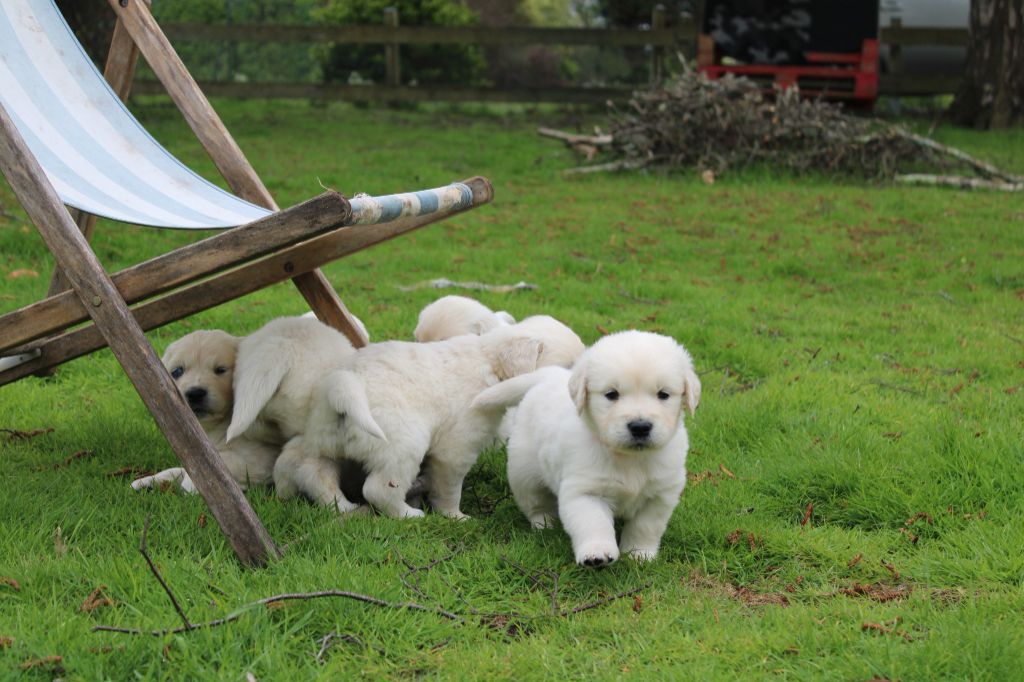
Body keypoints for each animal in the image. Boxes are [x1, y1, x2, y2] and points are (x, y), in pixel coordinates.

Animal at [131, 327, 280, 491]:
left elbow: (225, 462)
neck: (217, 425)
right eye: (177, 371)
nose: (195, 393)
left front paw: (192, 485)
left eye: (220, 370)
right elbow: (183, 469)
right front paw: (148, 480)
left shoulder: (261, 458)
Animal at [278, 315, 585, 518]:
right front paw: (455, 516)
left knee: (313, 470)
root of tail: (340, 389)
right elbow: (449, 488)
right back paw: (409, 515)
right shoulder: (456, 449)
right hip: (403, 443)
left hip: (324, 440)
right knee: (378, 489)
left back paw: (341, 506)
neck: (489, 361)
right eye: (568, 365)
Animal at [468, 331, 696, 565]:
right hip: (524, 472)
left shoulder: (661, 494)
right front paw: (597, 553)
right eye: (611, 394)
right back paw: (544, 524)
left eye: (663, 394)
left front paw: (639, 554)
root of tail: (547, 375)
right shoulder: (585, 491)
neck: (627, 458)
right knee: (535, 502)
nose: (640, 427)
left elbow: (646, 526)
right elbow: (593, 523)